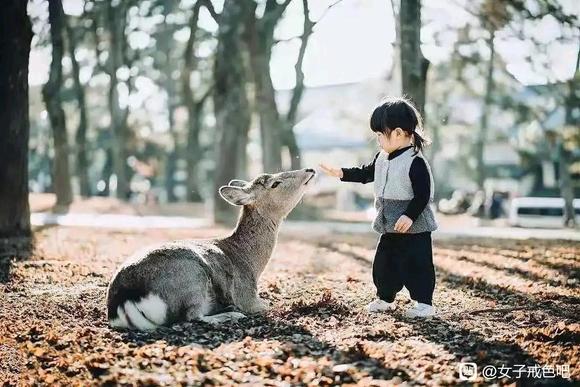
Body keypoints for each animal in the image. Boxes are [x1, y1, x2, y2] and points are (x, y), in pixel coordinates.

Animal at [106, 168, 314, 332]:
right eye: (275, 183)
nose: (310, 170)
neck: (250, 264)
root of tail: (124, 301)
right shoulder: (247, 297)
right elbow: (266, 304)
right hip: (191, 279)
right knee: (191, 317)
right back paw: (230, 315)